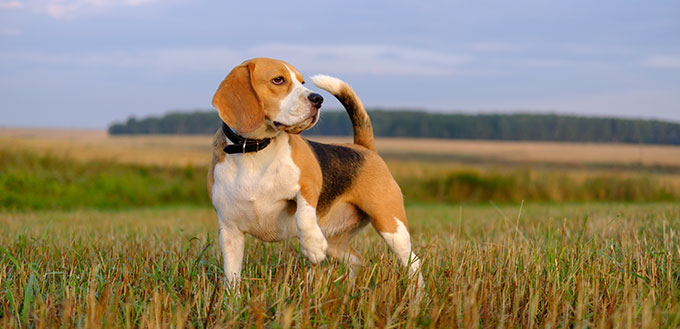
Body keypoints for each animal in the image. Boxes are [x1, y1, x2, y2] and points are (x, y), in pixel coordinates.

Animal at [209, 57, 420, 288]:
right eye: (278, 80)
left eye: (302, 81)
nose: (318, 99)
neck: (255, 151)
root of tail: (364, 148)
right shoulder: (229, 231)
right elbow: (231, 277)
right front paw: (232, 298)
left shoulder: (309, 183)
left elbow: (304, 213)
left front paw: (313, 246)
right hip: (337, 243)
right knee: (357, 261)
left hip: (390, 225)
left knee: (413, 262)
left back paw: (417, 294)